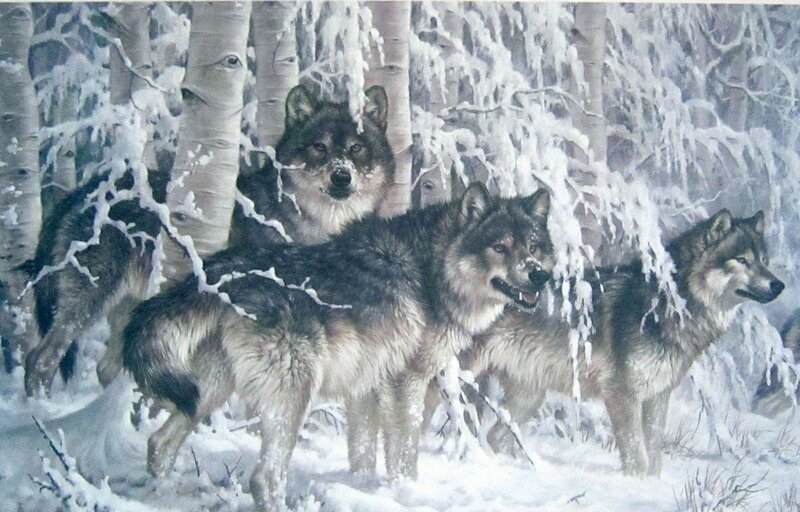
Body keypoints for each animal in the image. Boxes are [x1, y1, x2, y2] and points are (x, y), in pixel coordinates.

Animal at [22, 84, 393, 396]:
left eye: (356, 148)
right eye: (320, 147)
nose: (341, 176)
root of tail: (83, 190)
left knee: (105, 366)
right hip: (89, 300)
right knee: (40, 358)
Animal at [122, 183, 552, 511]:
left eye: (533, 247)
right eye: (500, 247)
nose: (540, 275)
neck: (432, 271)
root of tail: (216, 273)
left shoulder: (366, 386)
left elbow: (362, 452)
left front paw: (361, 488)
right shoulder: (406, 383)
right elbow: (405, 455)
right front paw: (405, 493)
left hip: (208, 391)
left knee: (160, 443)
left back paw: (159, 493)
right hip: (294, 395)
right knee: (265, 477)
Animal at [465, 209, 784, 476]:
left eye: (764, 262)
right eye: (741, 260)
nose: (779, 285)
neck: (667, 307)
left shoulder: (658, 396)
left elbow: (654, 453)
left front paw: (652, 486)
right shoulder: (622, 394)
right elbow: (636, 455)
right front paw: (636, 484)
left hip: (528, 398)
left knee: (495, 436)